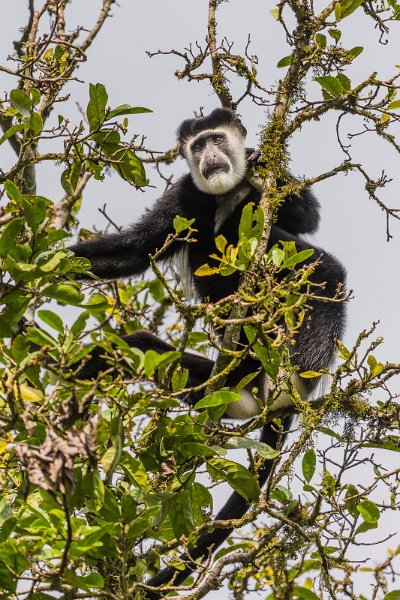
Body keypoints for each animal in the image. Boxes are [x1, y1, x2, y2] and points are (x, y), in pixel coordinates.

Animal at [70, 109, 346, 600]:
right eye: (196, 147)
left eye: (217, 139)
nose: (210, 155)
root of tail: (267, 397)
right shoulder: (185, 195)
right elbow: (137, 249)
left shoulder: (262, 185)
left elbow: (305, 218)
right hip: (219, 386)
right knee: (139, 346)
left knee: (316, 265)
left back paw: (300, 362)